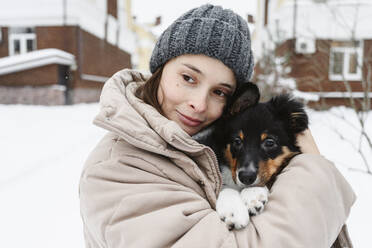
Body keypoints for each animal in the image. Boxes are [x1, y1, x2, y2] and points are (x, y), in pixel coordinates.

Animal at [193, 82, 310, 230]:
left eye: (270, 142)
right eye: (237, 141)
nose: (246, 177)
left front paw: (253, 196)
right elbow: (225, 188)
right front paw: (233, 211)